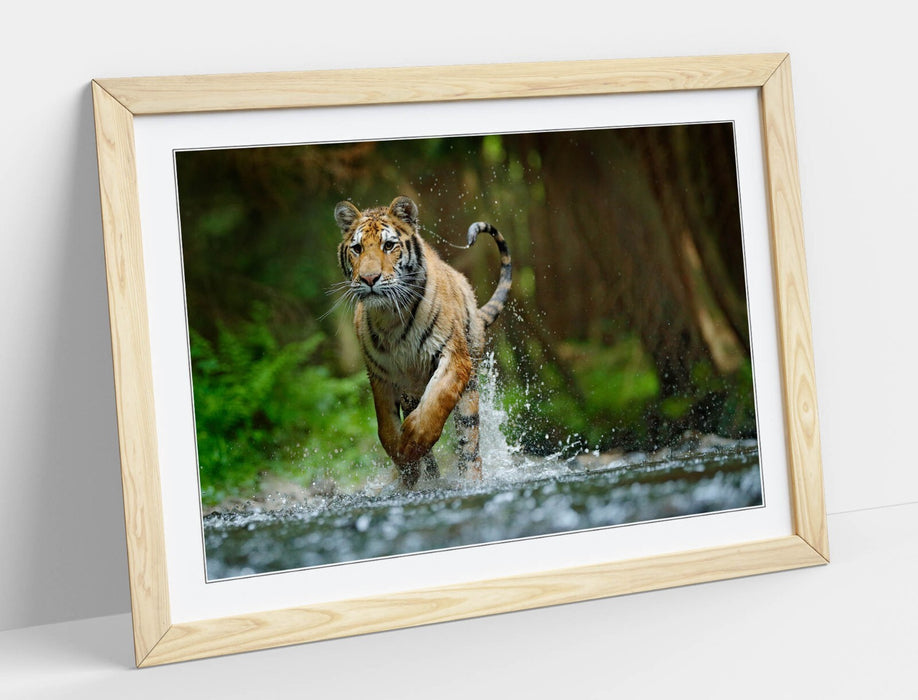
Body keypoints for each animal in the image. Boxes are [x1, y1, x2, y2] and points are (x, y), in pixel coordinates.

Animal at [334, 195, 511, 487]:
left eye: (389, 245)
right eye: (357, 248)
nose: (369, 279)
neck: (390, 316)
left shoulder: (454, 358)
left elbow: (435, 405)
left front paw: (410, 444)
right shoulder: (379, 374)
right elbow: (385, 428)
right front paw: (404, 462)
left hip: (470, 388)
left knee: (470, 446)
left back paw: (470, 481)